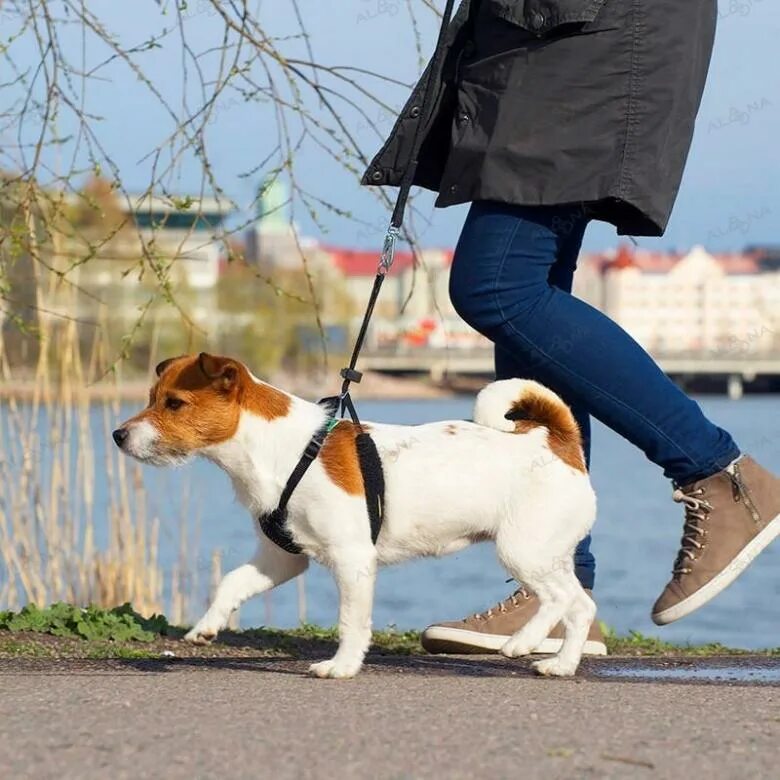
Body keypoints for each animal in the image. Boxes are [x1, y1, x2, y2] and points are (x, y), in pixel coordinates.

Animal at [111, 354, 596, 676]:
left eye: (174, 403)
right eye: (152, 398)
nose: (118, 435)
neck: (284, 450)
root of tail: (555, 440)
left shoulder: (352, 560)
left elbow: (351, 621)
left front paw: (341, 666)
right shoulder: (280, 559)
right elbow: (231, 581)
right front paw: (208, 626)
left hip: (523, 551)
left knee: (563, 600)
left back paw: (532, 647)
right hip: (547, 554)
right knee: (577, 604)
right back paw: (550, 658)